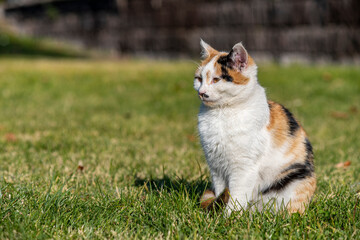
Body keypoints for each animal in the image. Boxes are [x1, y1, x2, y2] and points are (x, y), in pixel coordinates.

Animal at [194, 39, 316, 216]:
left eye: (216, 80)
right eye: (198, 79)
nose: (201, 92)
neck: (221, 113)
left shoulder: (244, 167)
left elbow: (237, 194)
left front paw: (228, 217)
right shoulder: (215, 165)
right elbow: (220, 190)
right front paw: (220, 209)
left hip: (295, 178)